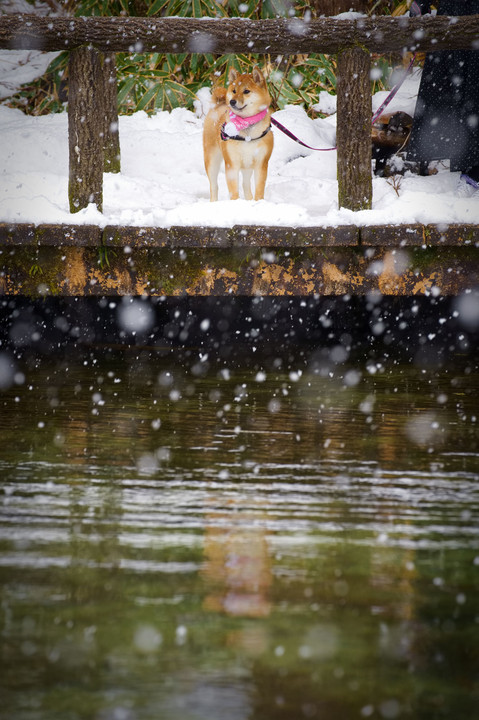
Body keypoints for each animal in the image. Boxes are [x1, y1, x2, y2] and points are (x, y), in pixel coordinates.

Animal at [203, 66, 274, 201]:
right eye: (234, 90)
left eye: (246, 91)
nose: (232, 101)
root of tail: (219, 104)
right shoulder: (231, 164)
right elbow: (233, 191)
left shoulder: (261, 163)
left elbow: (259, 190)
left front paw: (259, 202)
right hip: (211, 159)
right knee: (213, 186)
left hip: (247, 164)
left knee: (245, 184)